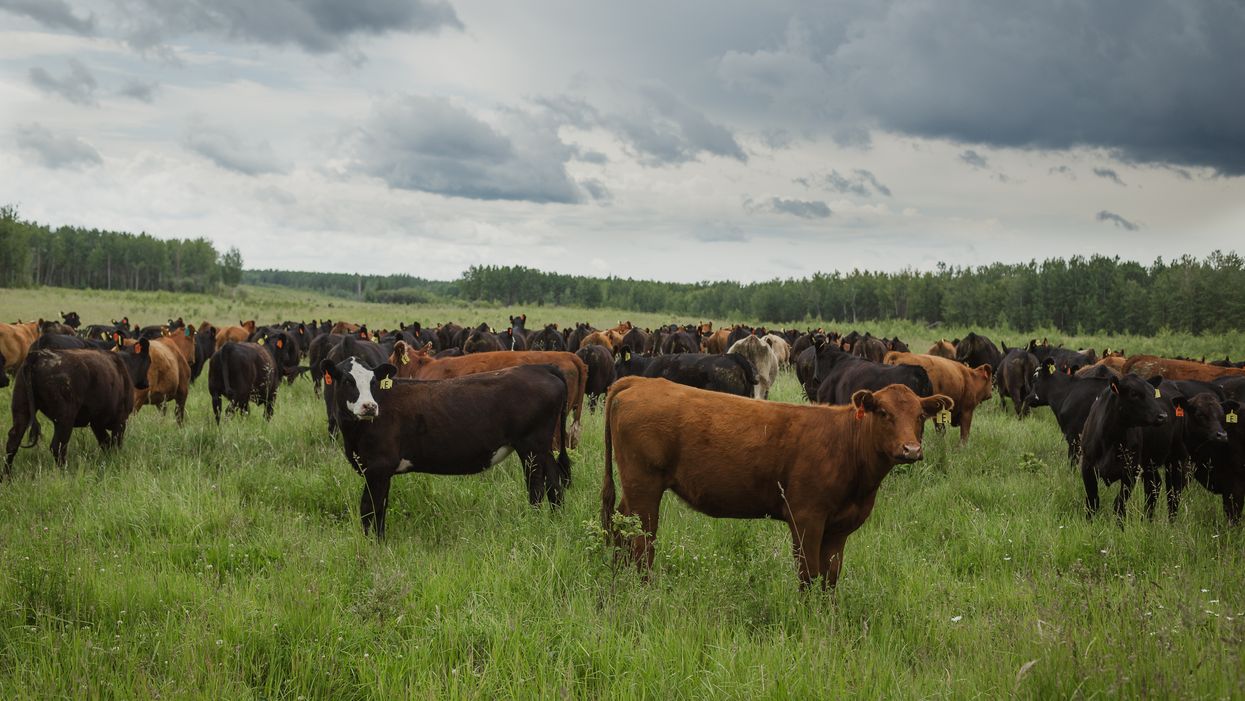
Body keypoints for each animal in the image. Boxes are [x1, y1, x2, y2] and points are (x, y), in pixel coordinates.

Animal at [5, 341, 151, 472]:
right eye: (149, 362)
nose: (146, 383)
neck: (124, 367)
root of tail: (37, 355)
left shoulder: (96, 423)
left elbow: (106, 443)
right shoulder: (120, 420)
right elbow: (115, 444)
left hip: (21, 409)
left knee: (13, 441)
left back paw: (7, 477)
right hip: (65, 419)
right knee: (58, 446)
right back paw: (64, 473)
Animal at [323, 358, 571, 538]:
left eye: (373, 382)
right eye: (347, 380)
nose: (369, 406)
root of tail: (541, 367)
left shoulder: (378, 467)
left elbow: (370, 508)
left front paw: (374, 544)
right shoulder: (379, 472)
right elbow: (380, 507)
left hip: (531, 446)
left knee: (536, 487)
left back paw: (536, 523)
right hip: (543, 448)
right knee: (554, 483)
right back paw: (556, 521)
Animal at [601, 378, 953, 588]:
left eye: (920, 416)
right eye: (882, 412)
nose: (911, 450)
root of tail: (641, 381)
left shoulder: (840, 526)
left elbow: (830, 577)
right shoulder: (806, 518)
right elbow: (809, 574)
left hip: (634, 489)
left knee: (620, 529)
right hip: (645, 487)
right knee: (642, 543)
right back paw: (644, 590)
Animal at [1079, 373, 1169, 519]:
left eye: (1153, 393)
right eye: (1134, 393)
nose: (1163, 416)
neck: (1111, 440)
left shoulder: (1131, 471)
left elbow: (1119, 503)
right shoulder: (1087, 467)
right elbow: (1093, 500)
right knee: (1153, 484)